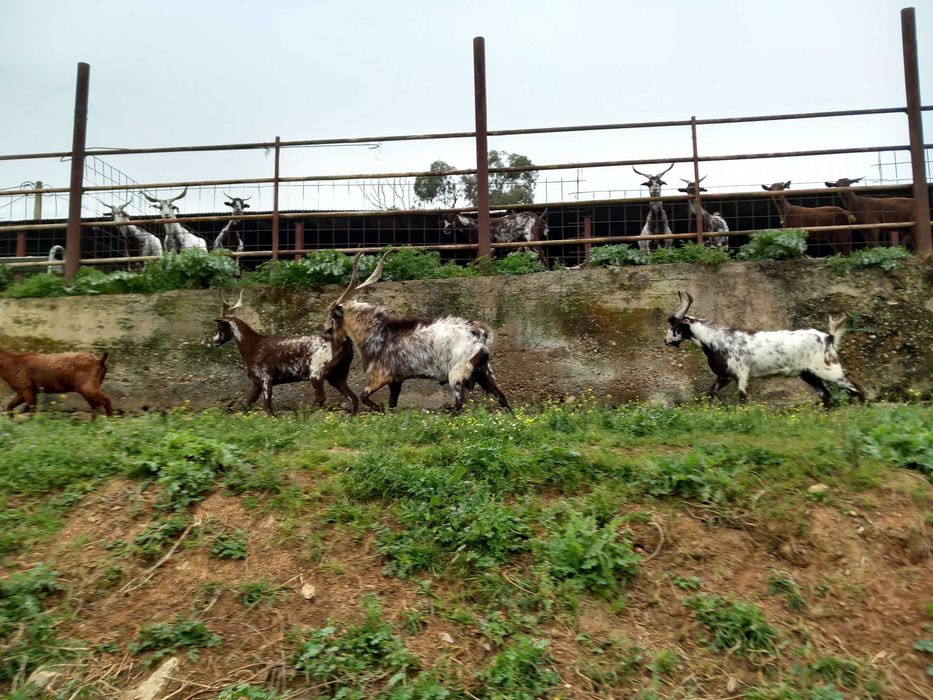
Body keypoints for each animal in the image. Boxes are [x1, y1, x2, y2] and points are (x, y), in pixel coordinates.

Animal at [213, 291, 358, 416]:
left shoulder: (266, 378)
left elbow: (268, 409)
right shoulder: (256, 383)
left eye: (219, 327)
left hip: (316, 373)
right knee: (353, 398)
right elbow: (247, 405)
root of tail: (343, 342)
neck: (252, 345)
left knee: (321, 398)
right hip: (337, 376)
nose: (214, 340)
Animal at [324, 252, 510, 412]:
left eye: (332, 316)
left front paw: (379, 410)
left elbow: (363, 396)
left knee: (459, 404)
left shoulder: (381, 376)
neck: (375, 332)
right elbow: (392, 405)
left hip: (457, 372)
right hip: (484, 371)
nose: (326, 331)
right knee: (502, 399)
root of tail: (481, 334)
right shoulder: (396, 380)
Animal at [664, 291, 865, 407]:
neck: (716, 341)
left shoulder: (742, 373)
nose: (666, 340)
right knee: (826, 394)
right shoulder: (726, 375)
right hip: (808, 374)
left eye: (674, 325)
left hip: (829, 370)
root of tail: (828, 337)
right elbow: (711, 391)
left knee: (856, 389)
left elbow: (742, 399)